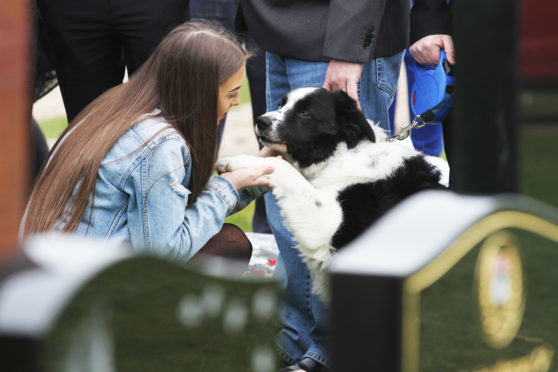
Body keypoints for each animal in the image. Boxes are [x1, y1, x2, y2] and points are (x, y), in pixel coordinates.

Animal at [217, 88, 448, 302]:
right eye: (282, 104)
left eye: (305, 113)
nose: (261, 121)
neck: (343, 154)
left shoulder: (327, 228)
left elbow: (283, 168)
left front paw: (237, 161)